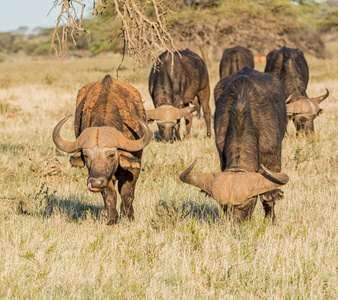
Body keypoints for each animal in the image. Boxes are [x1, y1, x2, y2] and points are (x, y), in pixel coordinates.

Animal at [52, 75, 151, 225]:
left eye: (111, 154)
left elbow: (127, 193)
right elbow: (109, 193)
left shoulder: (134, 167)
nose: (95, 183)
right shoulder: (104, 176)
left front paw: (129, 217)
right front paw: (112, 219)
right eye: (87, 155)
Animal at [181, 68, 290, 223]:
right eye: (224, 207)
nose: (236, 223)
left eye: (247, 205)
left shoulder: (272, 160)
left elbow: (269, 195)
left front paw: (270, 221)